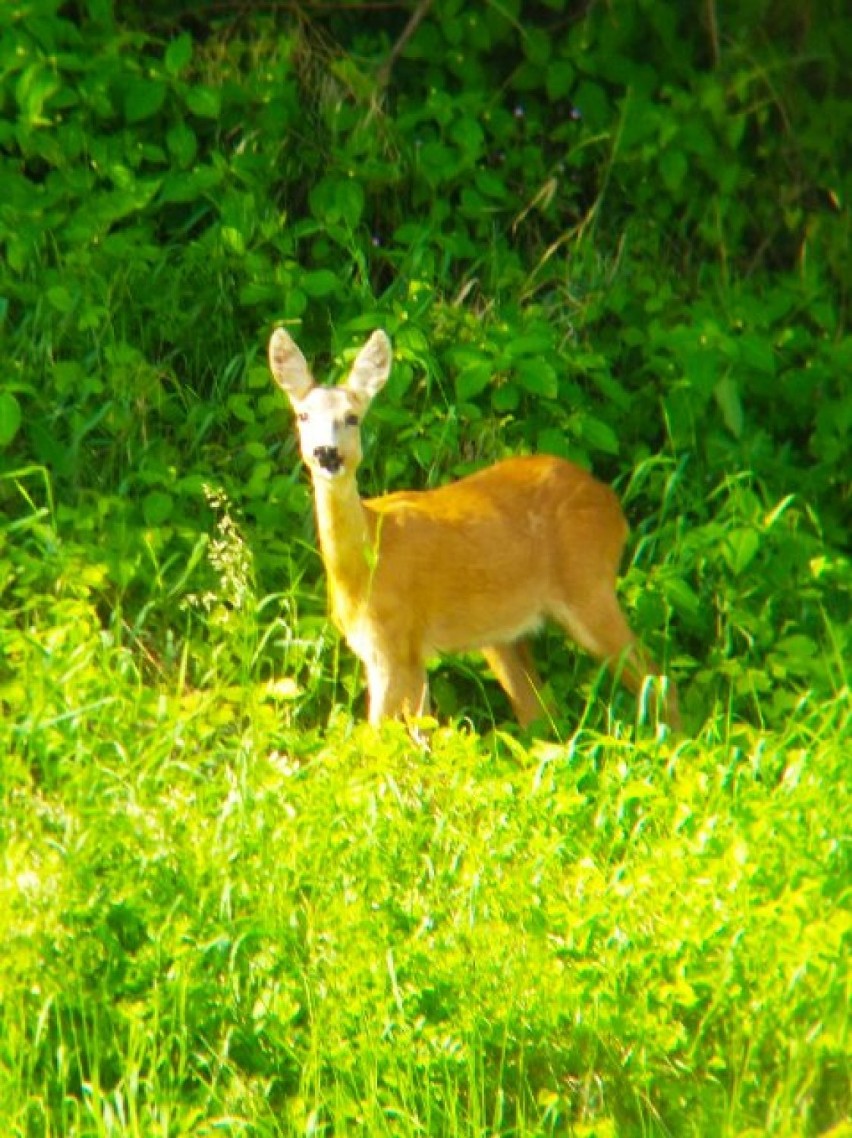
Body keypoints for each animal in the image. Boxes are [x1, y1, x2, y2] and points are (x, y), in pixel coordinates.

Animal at [269, 325, 682, 732]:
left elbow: (376, 738)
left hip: (589, 586)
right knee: (539, 713)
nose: (326, 453)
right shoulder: (406, 650)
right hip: (505, 634)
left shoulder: (393, 641)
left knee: (659, 682)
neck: (367, 559)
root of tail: (612, 504)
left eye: (352, 417)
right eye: (303, 415)